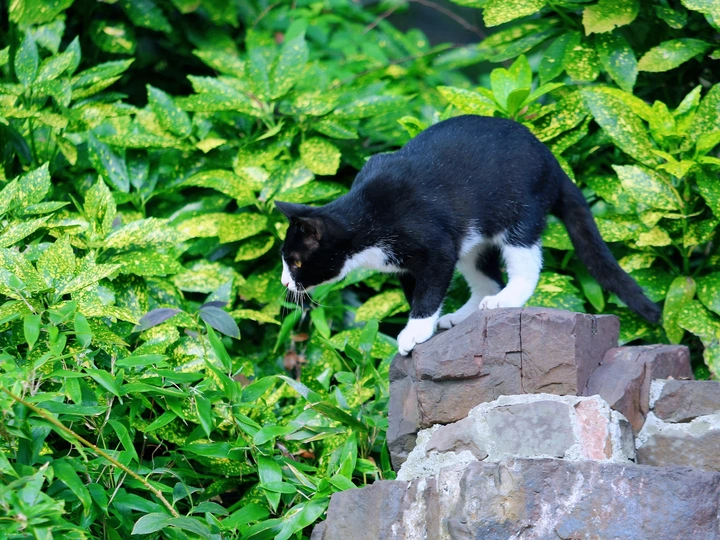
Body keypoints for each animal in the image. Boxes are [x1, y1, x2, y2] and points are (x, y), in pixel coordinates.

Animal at [276, 115, 661, 355]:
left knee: (525, 264)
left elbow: (429, 291)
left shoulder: (436, 246)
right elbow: (416, 290)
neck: (366, 216)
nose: (284, 282)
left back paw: (506, 299)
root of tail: (553, 162)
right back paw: (464, 315)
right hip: (473, 238)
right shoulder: (410, 263)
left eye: (295, 262)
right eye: (286, 261)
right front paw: (425, 326)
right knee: (486, 277)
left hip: (520, 210)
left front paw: (414, 332)